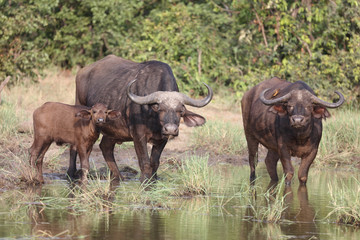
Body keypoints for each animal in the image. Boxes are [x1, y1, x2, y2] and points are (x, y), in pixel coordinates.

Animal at [69, 54, 212, 182]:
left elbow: (155, 162)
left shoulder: (163, 139)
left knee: (105, 147)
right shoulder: (138, 136)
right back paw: (71, 173)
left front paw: (153, 180)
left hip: (112, 130)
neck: (154, 121)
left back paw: (119, 177)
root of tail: (82, 72)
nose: (171, 129)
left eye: (180, 110)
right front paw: (144, 181)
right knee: (75, 146)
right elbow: (145, 162)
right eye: (159, 108)